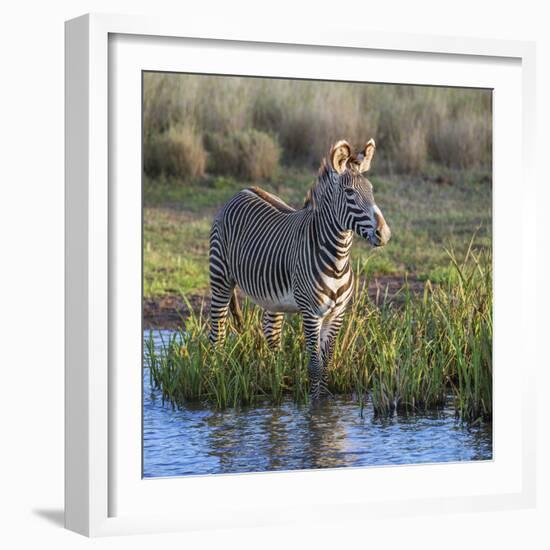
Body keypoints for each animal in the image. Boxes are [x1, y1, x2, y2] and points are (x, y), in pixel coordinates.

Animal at [208, 137, 392, 396]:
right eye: (349, 193)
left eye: (372, 191)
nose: (384, 234)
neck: (337, 260)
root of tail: (242, 190)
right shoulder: (311, 312)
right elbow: (315, 365)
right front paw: (315, 403)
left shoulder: (337, 314)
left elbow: (327, 363)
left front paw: (324, 401)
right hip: (220, 277)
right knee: (218, 333)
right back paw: (217, 377)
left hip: (272, 296)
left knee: (271, 333)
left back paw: (276, 378)